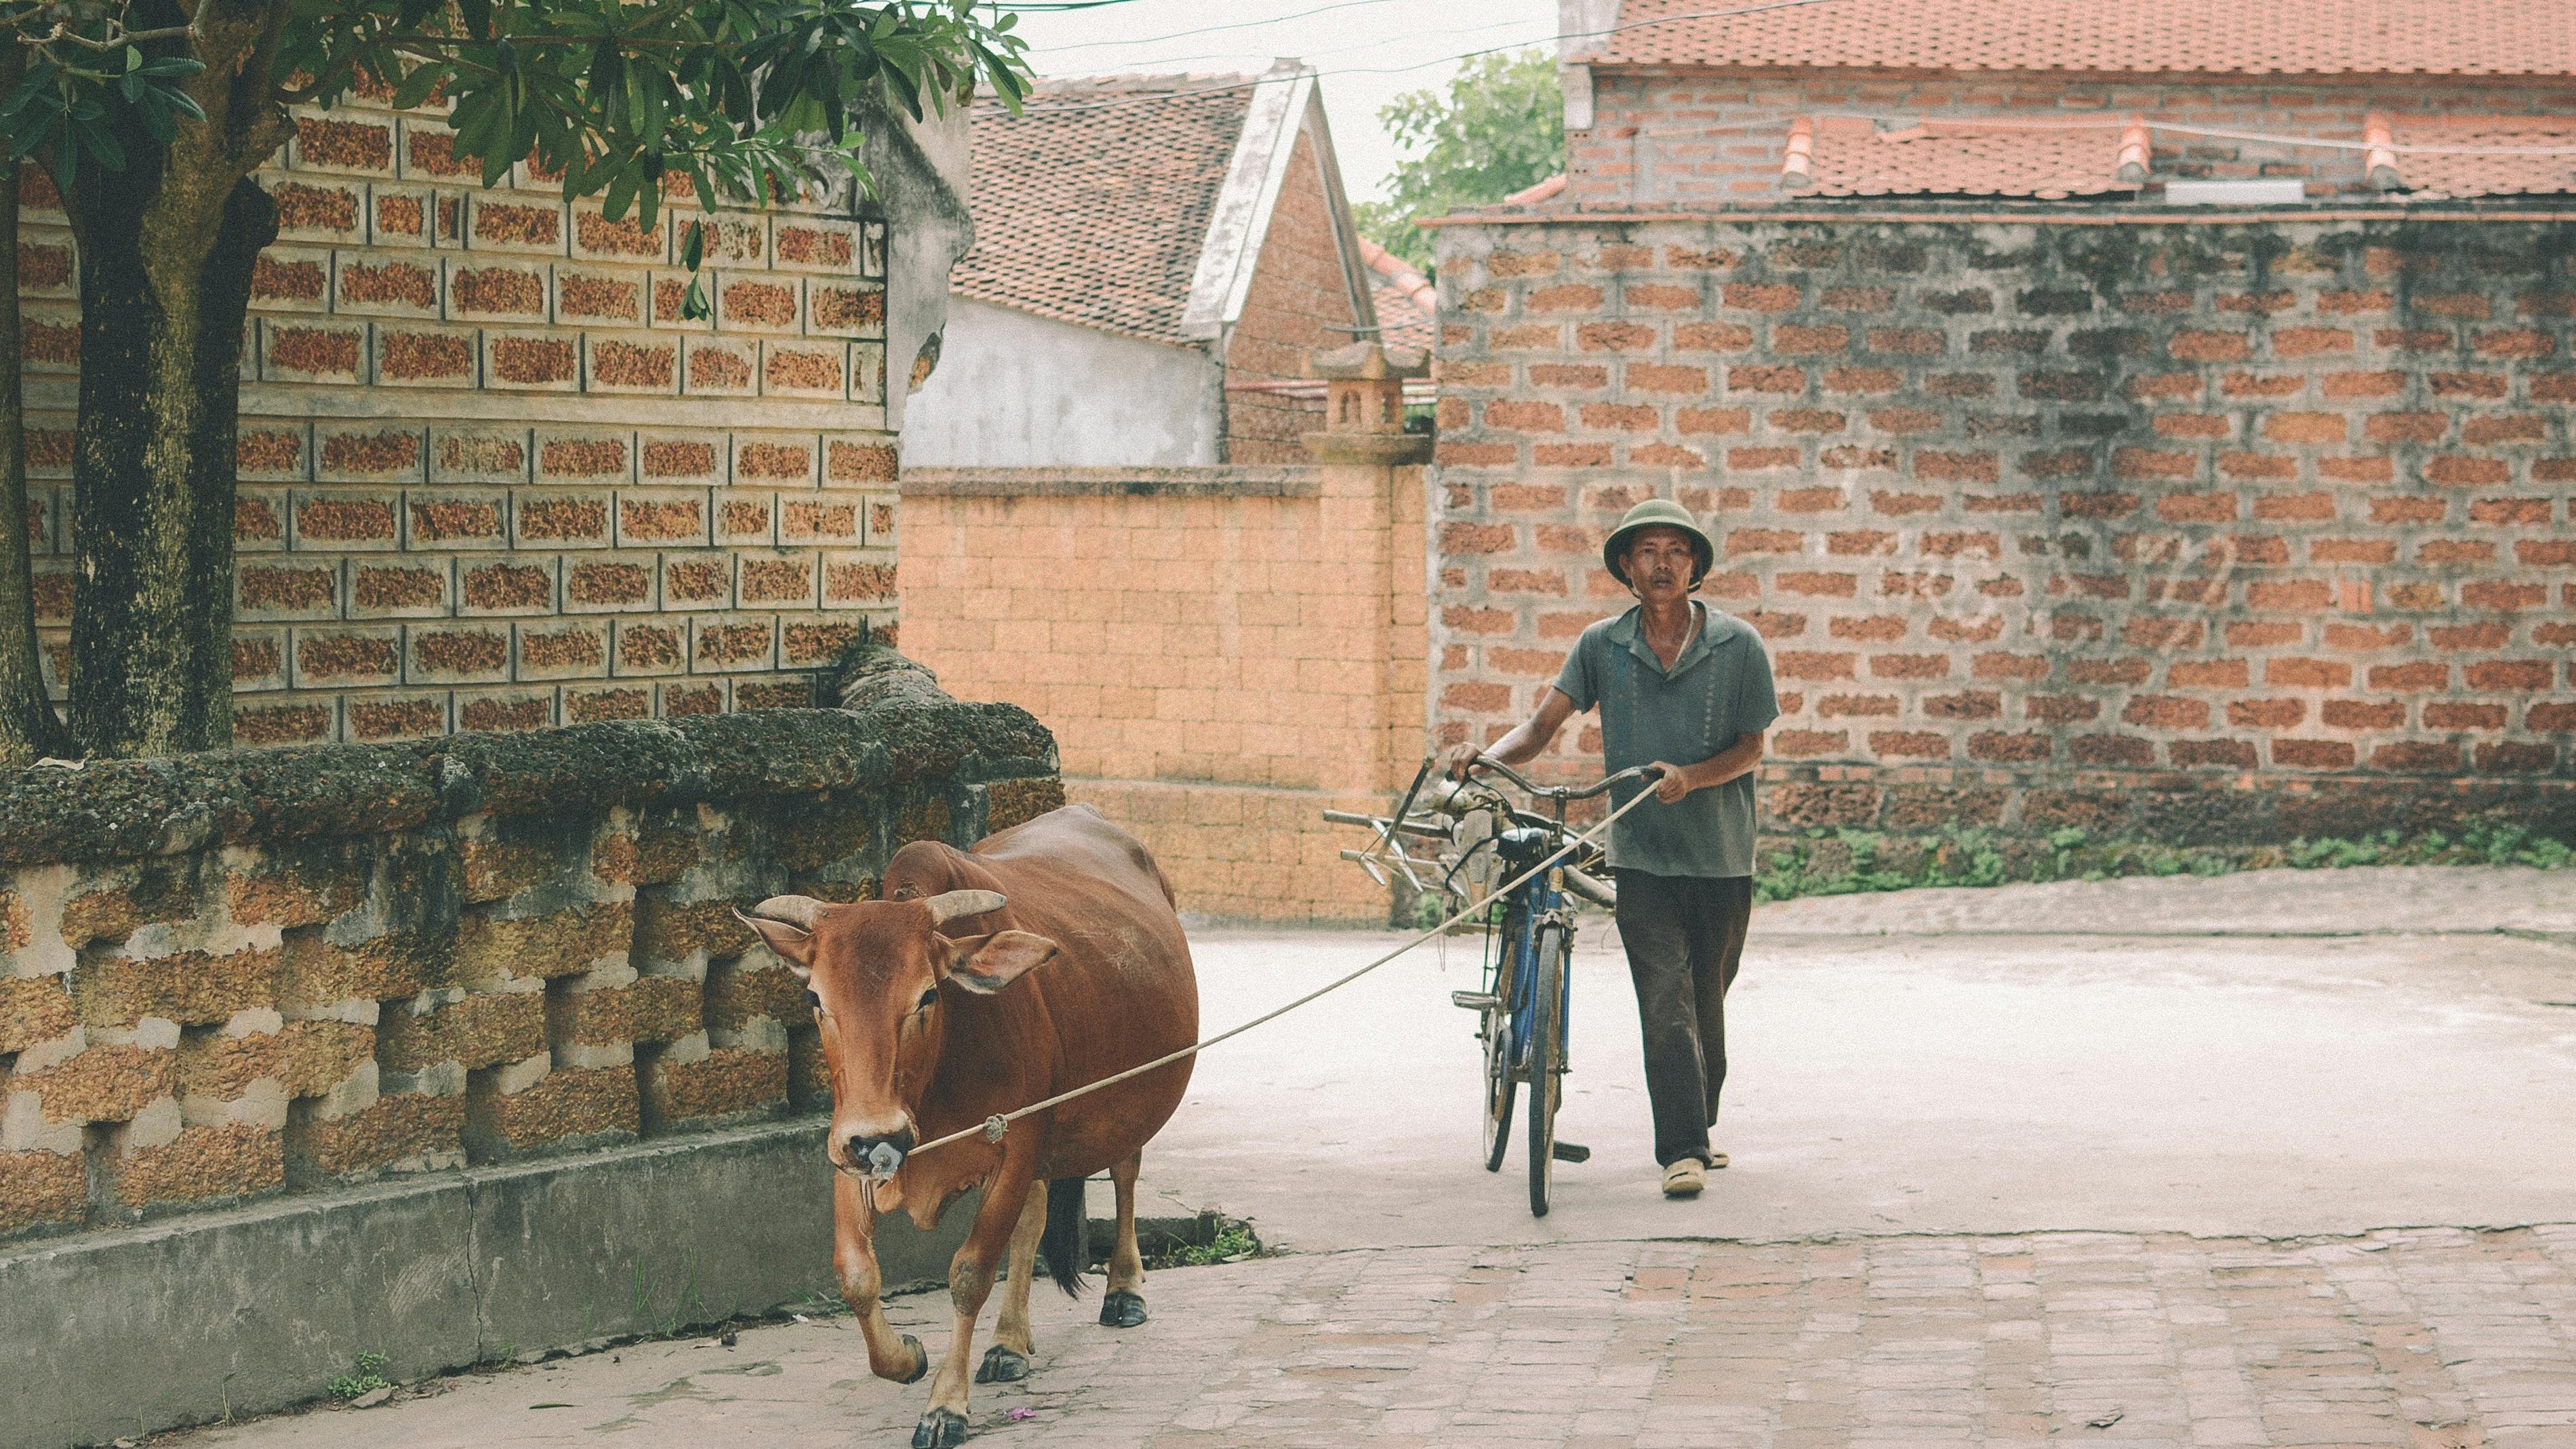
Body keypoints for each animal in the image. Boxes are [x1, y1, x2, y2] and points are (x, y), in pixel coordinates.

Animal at [736, 802, 1195, 1449]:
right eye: (816, 1000)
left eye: (929, 995)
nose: (877, 1137)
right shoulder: (848, 1153)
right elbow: (857, 1275)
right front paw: (905, 1357)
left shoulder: (1015, 1148)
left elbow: (970, 1274)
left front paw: (945, 1407)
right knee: (1033, 1222)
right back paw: (1009, 1345)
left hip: (1130, 1096)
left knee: (1125, 1171)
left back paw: (1124, 1290)